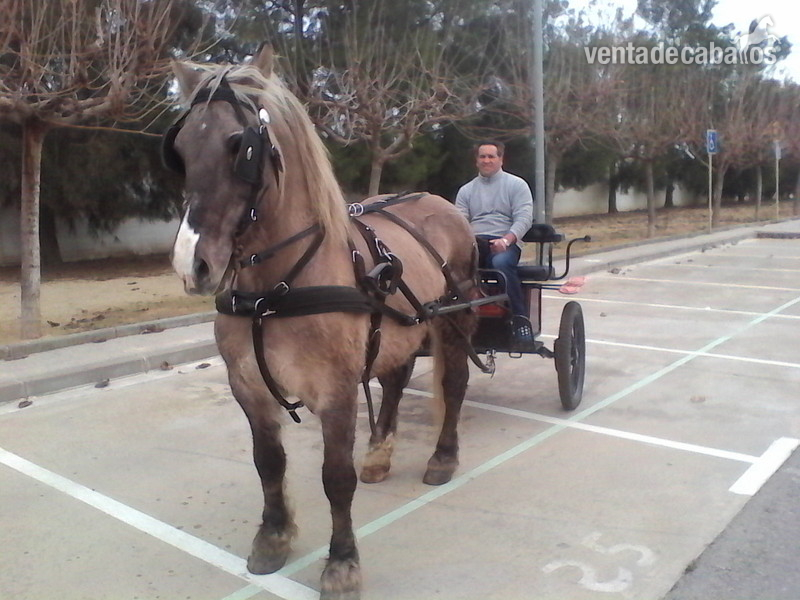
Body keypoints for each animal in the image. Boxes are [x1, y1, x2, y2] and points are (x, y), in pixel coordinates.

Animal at [164, 46, 478, 600]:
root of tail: (437, 201)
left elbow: (336, 477)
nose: (191, 265)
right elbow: (268, 463)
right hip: (399, 329)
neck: (273, 292)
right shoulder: (247, 387)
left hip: (450, 320)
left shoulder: (336, 391)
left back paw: (442, 457)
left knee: (455, 383)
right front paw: (273, 536)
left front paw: (343, 562)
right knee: (394, 382)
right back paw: (380, 453)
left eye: (240, 147)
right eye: (179, 149)